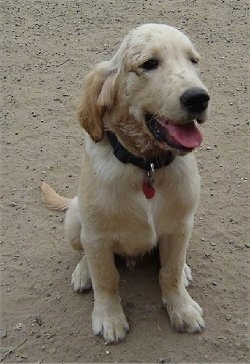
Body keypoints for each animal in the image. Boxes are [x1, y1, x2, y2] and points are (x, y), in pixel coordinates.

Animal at [41, 24, 209, 342]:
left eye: (193, 60)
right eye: (149, 64)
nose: (199, 98)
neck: (147, 166)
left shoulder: (181, 226)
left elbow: (169, 272)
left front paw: (181, 308)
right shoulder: (96, 235)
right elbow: (106, 277)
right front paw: (109, 317)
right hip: (75, 220)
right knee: (86, 253)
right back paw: (83, 273)